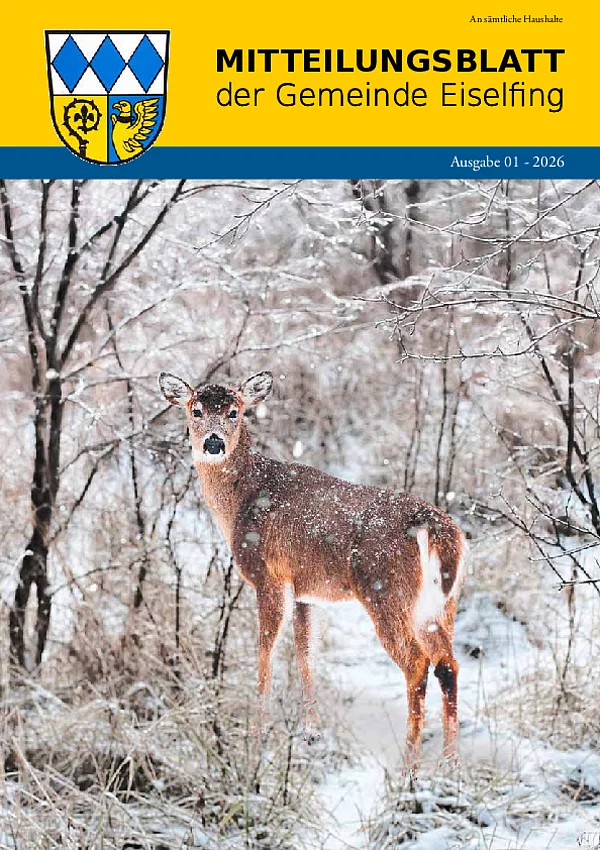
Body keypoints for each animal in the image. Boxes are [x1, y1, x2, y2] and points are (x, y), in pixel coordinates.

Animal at [158, 370, 466, 769]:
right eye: (196, 410)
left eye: (234, 411)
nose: (213, 443)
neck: (242, 499)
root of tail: (437, 530)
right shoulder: (308, 591)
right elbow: (306, 653)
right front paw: (311, 732)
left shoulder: (269, 576)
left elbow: (267, 650)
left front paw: (257, 735)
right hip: (441, 603)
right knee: (448, 662)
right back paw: (451, 765)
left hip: (386, 591)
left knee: (417, 662)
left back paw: (408, 766)